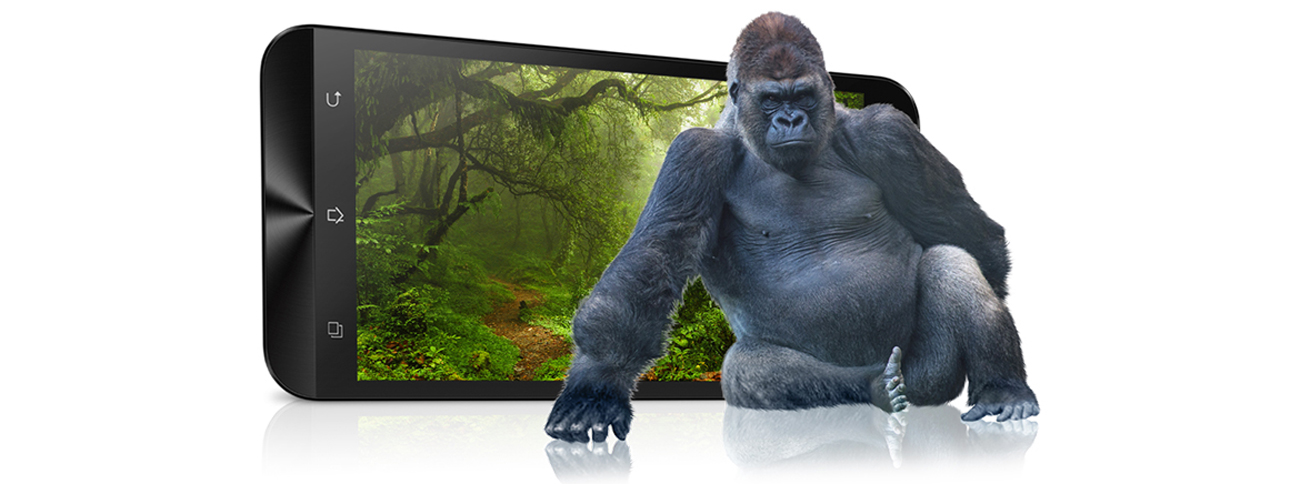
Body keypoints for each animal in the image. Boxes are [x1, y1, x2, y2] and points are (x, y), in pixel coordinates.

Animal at [545, 12, 1038, 443]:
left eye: (801, 96)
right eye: (770, 100)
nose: (790, 120)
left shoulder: (890, 135)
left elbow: (974, 234)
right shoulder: (693, 154)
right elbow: (654, 260)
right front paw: (596, 383)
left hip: (933, 375)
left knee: (952, 261)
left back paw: (1003, 389)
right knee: (748, 369)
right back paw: (873, 386)